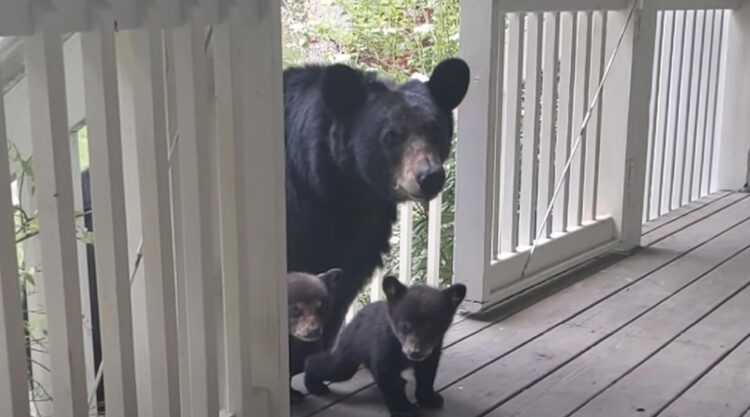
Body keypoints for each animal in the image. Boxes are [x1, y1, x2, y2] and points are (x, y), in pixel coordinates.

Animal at [304, 276, 464, 416]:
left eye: (433, 328)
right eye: (405, 326)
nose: (415, 352)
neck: (399, 346)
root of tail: (352, 321)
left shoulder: (432, 353)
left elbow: (427, 375)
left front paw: (429, 398)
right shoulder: (383, 347)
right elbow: (387, 378)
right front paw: (403, 408)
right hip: (348, 353)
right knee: (329, 366)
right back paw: (314, 385)